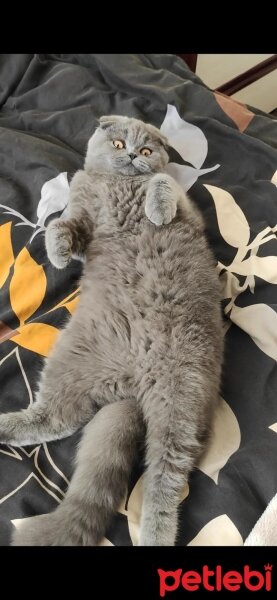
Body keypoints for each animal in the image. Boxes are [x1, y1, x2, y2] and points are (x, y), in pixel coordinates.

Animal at [0, 113, 223, 544]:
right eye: (119, 144)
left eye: (148, 149)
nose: (135, 154)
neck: (115, 184)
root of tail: (132, 386)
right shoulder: (82, 215)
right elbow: (62, 225)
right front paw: (57, 251)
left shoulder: (186, 206)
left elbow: (162, 181)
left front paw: (155, 211)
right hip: (71, 360)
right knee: (56, 419)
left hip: (182, 392)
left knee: (165, 475)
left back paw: (155, 533)